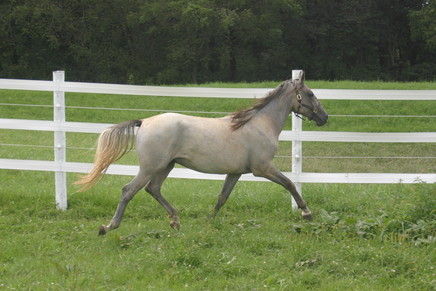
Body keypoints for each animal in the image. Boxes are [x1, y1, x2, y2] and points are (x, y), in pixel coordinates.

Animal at [75, 70, 328, 235]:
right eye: (310, 93)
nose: (324, 117)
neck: (259, 124)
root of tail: (144, 122)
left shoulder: (236, 172)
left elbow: (222, 197)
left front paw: (209, 221)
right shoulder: (262, 168)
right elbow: (290, 184)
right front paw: (307, 213)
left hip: (166, 166)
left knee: (153, 189)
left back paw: (175, 221)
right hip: (150, 167)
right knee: (129, 190)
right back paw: (108, 227)